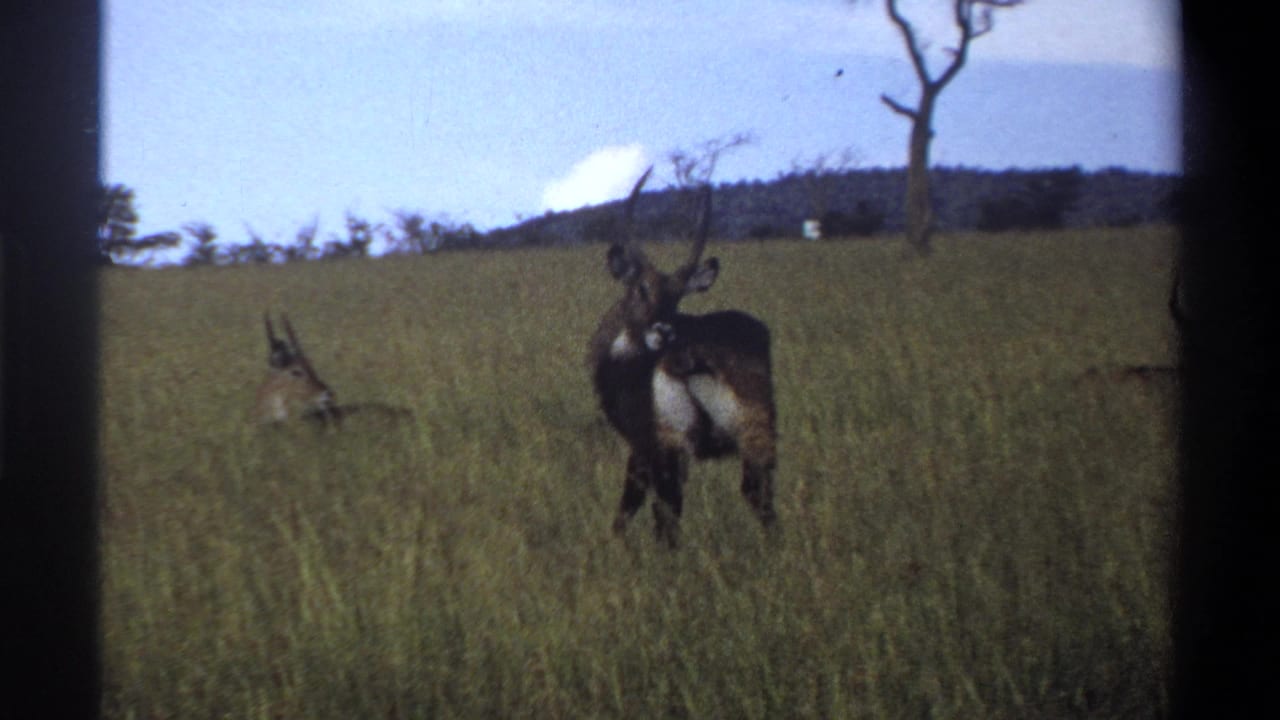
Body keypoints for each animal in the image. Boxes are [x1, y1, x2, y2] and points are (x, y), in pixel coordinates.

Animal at [588, 168, 777, 547]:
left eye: (677, 297)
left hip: (671, 447)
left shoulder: (643, 444)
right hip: (756, 435)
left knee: (667, 514)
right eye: (642, 289)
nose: (663, 330)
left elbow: (627, 508)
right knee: (758, 496)